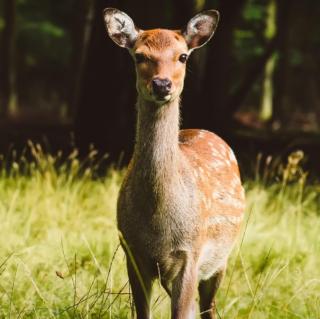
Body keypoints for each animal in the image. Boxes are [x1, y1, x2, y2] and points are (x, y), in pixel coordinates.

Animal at [104, 7, 246, 319]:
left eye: (182, 56)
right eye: (139, 55)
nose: (162, 84)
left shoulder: (191, 254)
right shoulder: (132, 253)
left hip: (221, 259)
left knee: (208, 308)